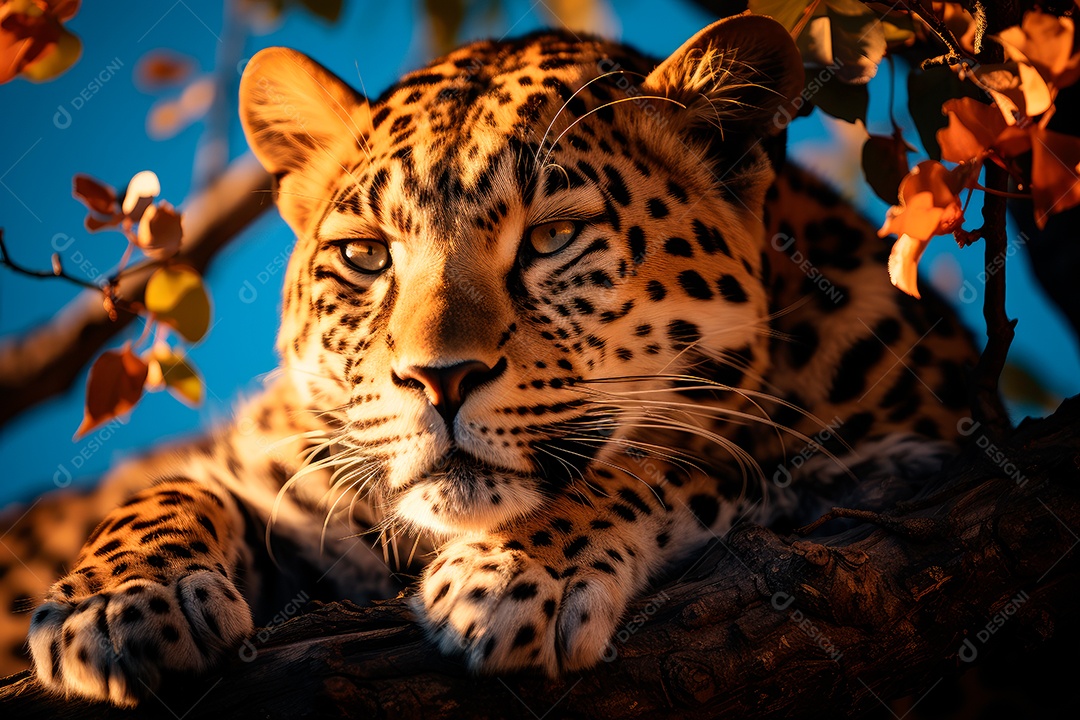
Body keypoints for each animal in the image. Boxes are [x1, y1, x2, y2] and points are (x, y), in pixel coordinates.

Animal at [0, 13, 978, 707]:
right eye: (367, 256)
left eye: (550, 239)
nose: (440, 379)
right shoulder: (273, 464)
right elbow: (169, 489)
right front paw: (115, 605)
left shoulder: (903, 448)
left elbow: (670, 450)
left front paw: (513, 574)